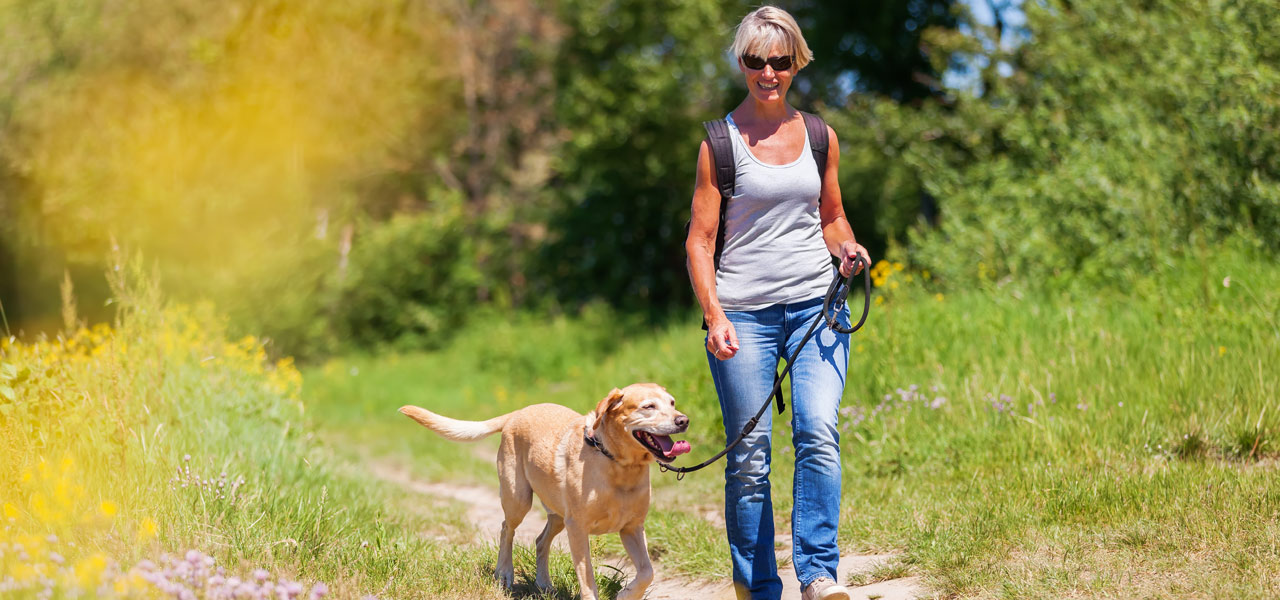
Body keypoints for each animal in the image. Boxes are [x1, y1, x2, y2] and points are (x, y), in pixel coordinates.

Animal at [399, 383, 691, 598]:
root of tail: (516, 413)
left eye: (672, 403)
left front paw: (627, 594)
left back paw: (544, 584)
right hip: (519, 500)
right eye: (648, 407)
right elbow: (588, 580)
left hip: (558, 515)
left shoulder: (632, 528)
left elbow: (647, 572)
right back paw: (504, 574)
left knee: (540, 541)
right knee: (506, 529)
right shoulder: (578, 529)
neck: (618, 464)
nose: (683, 420)